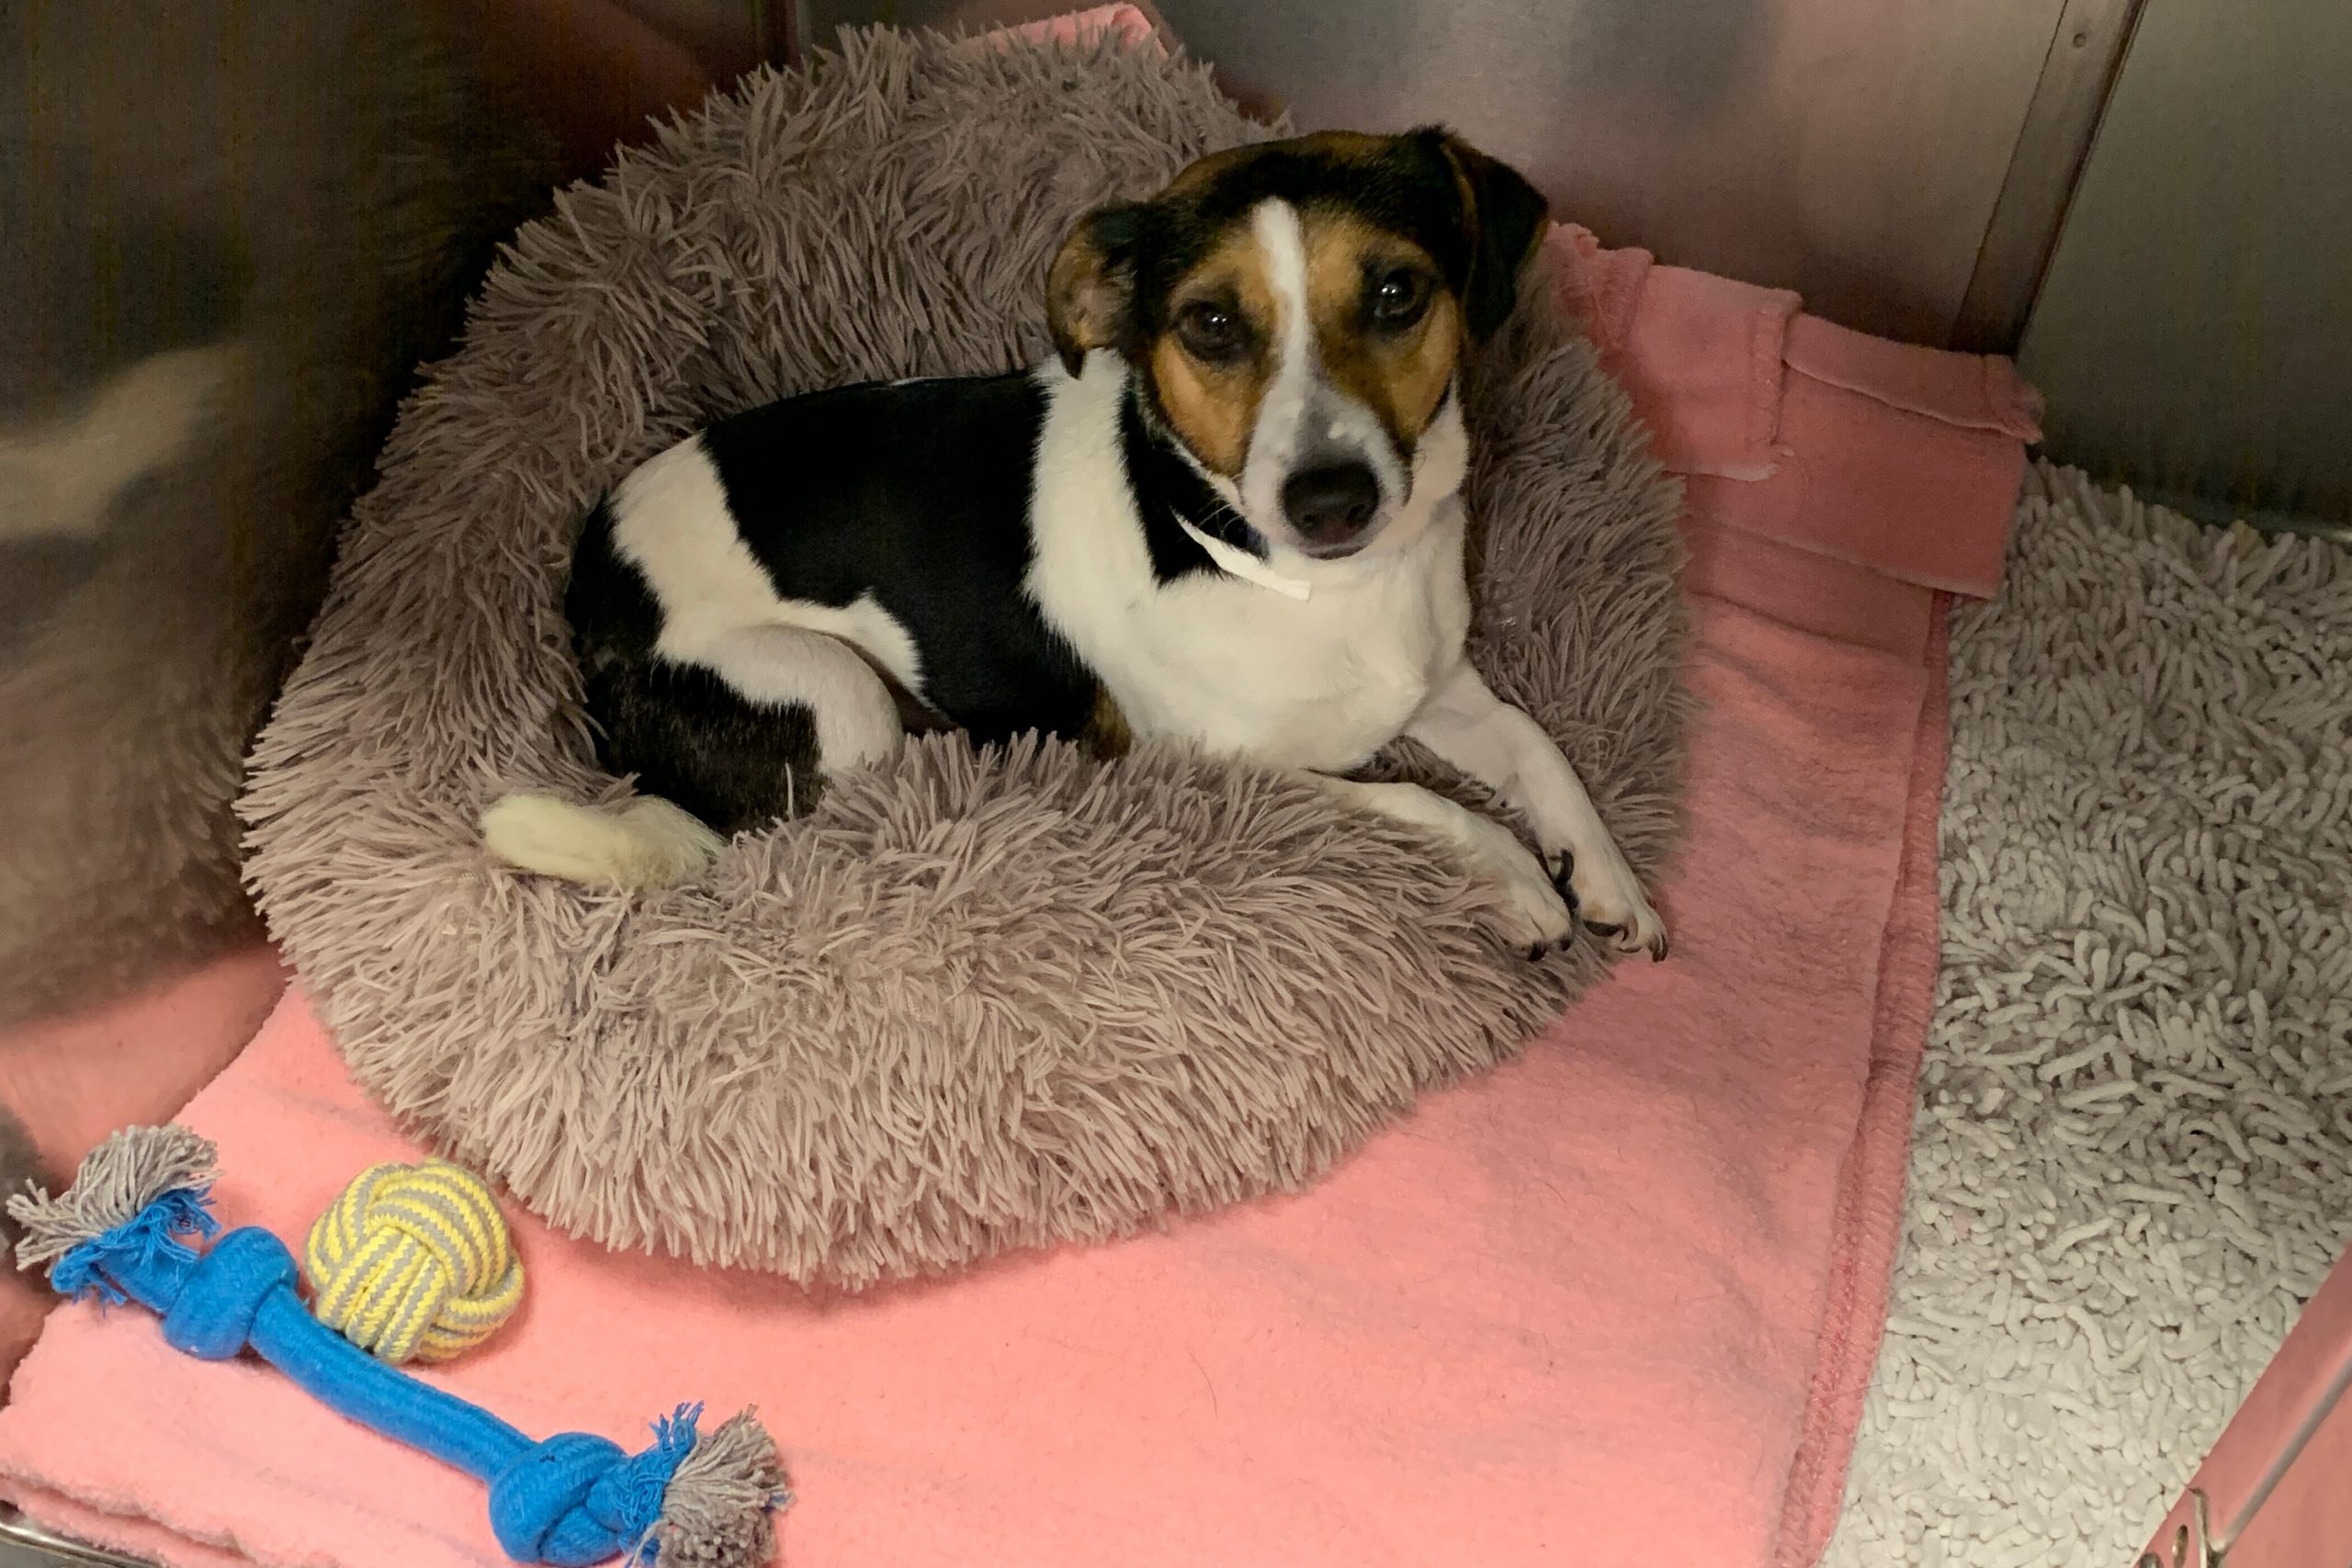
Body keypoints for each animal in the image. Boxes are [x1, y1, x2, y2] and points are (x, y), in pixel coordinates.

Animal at [486, 125, 1674, 959]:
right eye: (1209, 324)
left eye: (1395, 293)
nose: (1329, 499)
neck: (1300, 580)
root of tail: (589, 572)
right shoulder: (1227, 765)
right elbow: (1422, 801)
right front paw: (1515, 878)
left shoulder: (1438, 683)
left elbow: (1536, 745)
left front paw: (1606, 873)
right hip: (836, 698)